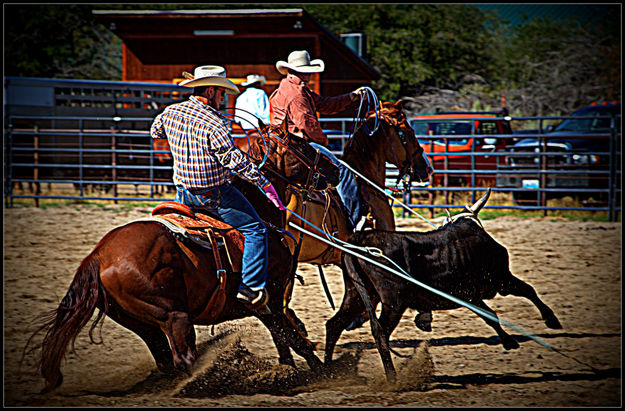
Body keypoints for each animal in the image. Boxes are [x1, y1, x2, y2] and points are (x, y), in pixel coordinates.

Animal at [24, 120, 338, 394]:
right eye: (301, 144)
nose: (334, 170)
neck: (262, 213)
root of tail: (98, 256)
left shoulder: (269, 306)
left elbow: (286, 339)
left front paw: (290, 372)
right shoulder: (270, 298)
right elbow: (294, 338)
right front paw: (323, 374)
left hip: (140, 322)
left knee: (165, 359)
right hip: (173, 316)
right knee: (183, 358)